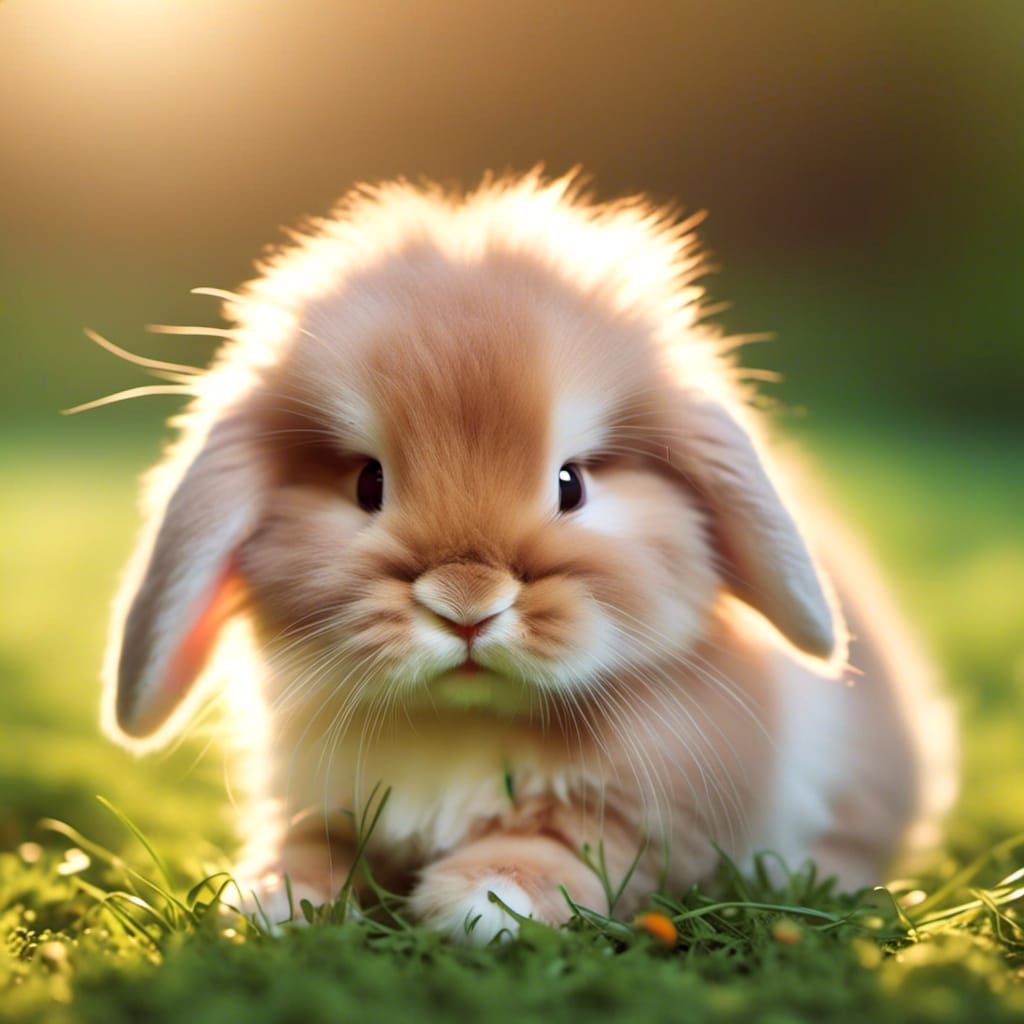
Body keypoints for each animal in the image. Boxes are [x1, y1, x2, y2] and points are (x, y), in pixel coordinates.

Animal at [102, 172, 957, 943]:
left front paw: (486, 900)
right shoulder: (318, 799)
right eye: (367, 482)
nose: (466, 604)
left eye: (570, 483)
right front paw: (271, 899)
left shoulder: (643, 819)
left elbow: (574, 850)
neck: (464, 721)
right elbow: (312, 846)